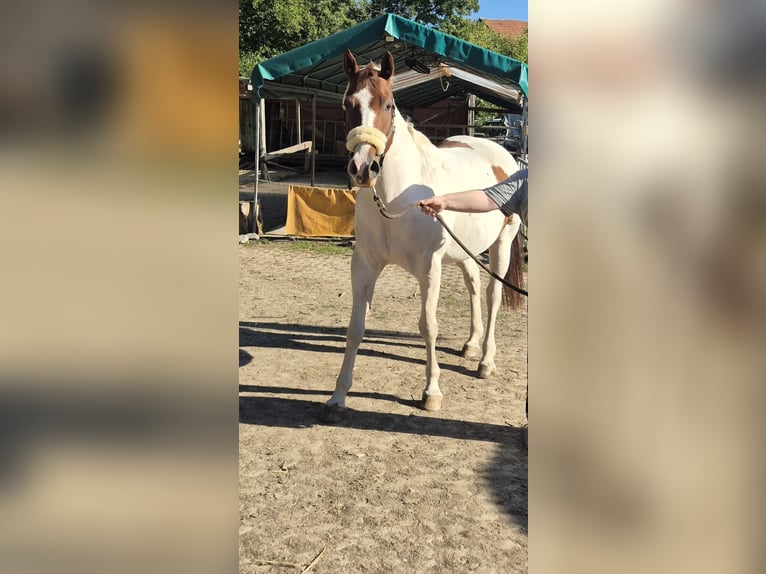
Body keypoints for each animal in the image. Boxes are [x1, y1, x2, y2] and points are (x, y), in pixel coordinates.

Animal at [320, 49, 525, 422]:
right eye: (347, 104)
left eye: (388, 105)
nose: (363, 169)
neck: (396, 198)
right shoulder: (364, 265)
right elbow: (355, 328)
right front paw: (338, 397)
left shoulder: (430, 269)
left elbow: (428, 326)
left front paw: (432, 392)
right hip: (465, 251)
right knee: (474, 286)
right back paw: (471, 345)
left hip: (500, 246)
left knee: (492, 296)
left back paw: (486, 361)